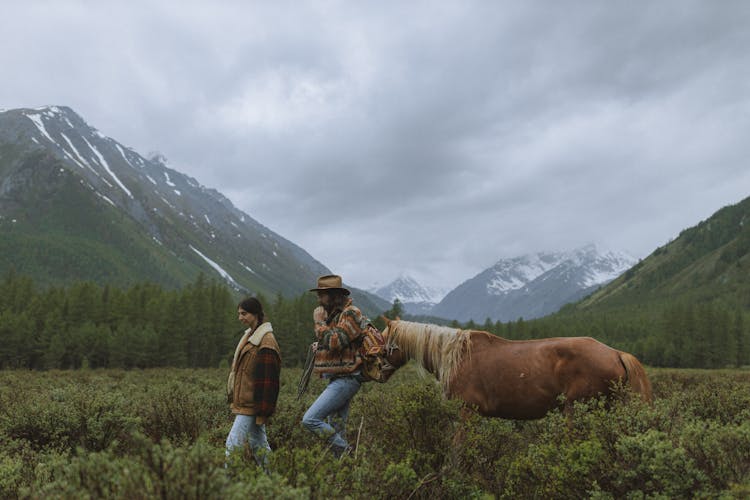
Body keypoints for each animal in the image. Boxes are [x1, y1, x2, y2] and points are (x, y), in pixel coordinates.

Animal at [382, 318, 652, 420]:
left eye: (382, 337)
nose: (378, 371)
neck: (455, 355)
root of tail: (616, 353)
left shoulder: (466, 411)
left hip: (576, 411)